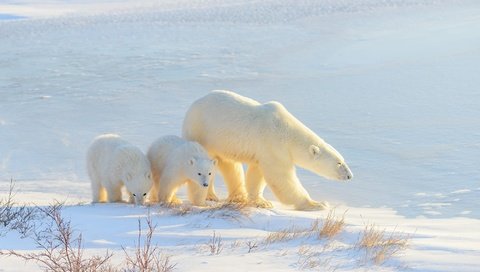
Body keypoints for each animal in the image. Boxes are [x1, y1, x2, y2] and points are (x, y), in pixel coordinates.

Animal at [183, 91, 352, 210]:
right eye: (338, 163)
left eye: (343, 160)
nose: (350, 176)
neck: (288, 132)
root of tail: (192, 106)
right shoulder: (273, 144)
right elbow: (281, 178)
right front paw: (317, 204)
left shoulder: (264, 151)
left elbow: (257, 174)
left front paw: (262, 202)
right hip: (202, 133)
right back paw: (211, 196)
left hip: (222, 142)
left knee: (230, 165)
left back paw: (238, 196)